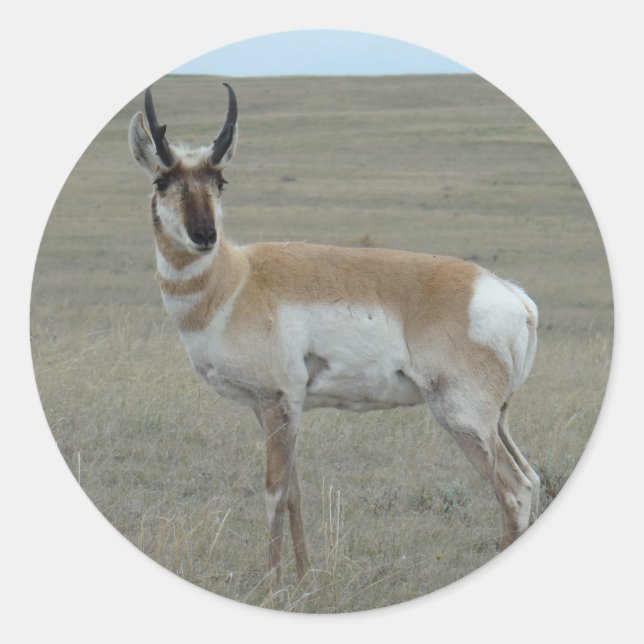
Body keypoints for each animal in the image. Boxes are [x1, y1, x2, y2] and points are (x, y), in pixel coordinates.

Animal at [129, 83, 540, 589]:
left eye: (219, 181)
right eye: (162, 181)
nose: (205, 235)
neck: (237, 279)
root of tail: (512, 296)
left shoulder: (278, 401)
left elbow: (273, 492)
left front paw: (272, 585)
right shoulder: (275, 410)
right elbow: (294, 492)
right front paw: (306, 580)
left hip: (464, 418)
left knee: (514, 490)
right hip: (498, 419)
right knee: (532, 479)